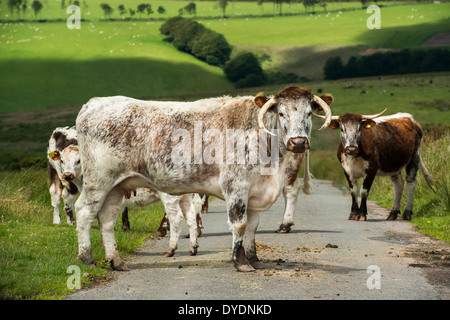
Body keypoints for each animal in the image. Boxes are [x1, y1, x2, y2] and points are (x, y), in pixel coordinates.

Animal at [74, 86, 334, 272]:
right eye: (281, 113)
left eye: (309, 113)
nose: (298, 143)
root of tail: (95, 102)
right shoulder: (236, 187)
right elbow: (239, 225)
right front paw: (240, 262)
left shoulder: (255, 191)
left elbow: (252, 227)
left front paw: (254, 259)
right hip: (98, 181)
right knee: (84, 211)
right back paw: (87, 258)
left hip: (116, 186)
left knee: (107, 219)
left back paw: (115, 260)